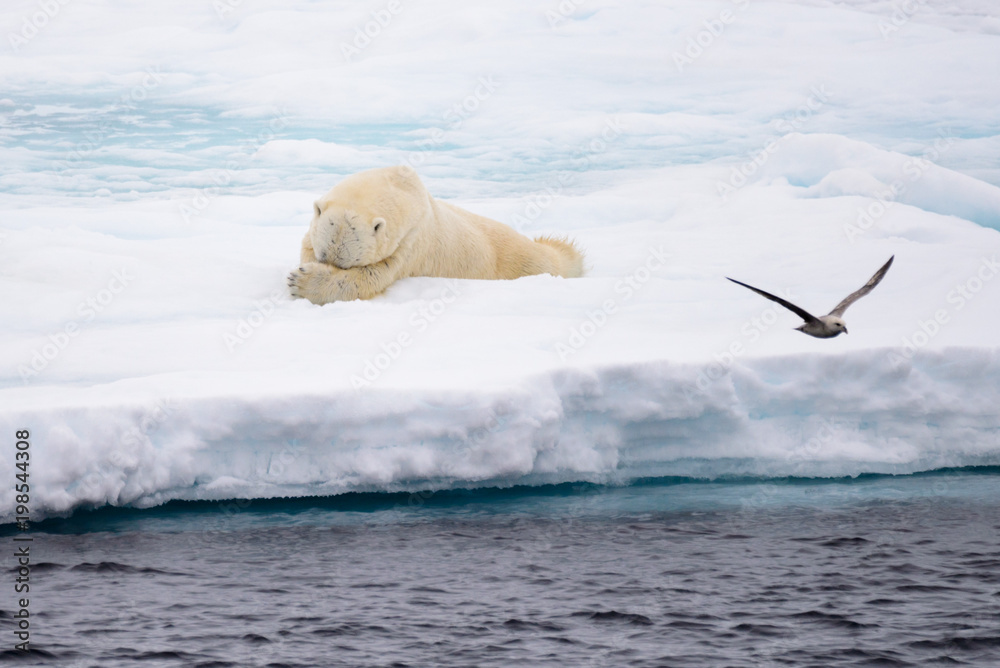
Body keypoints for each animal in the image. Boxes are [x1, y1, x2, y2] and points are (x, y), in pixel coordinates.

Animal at [287, 165, 585, 304]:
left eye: (346, 264)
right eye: (324, 255)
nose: (326, 265)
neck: (399, 184)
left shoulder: (410, 243)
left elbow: (371, 277)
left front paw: (301, 281)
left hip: (520, 261)